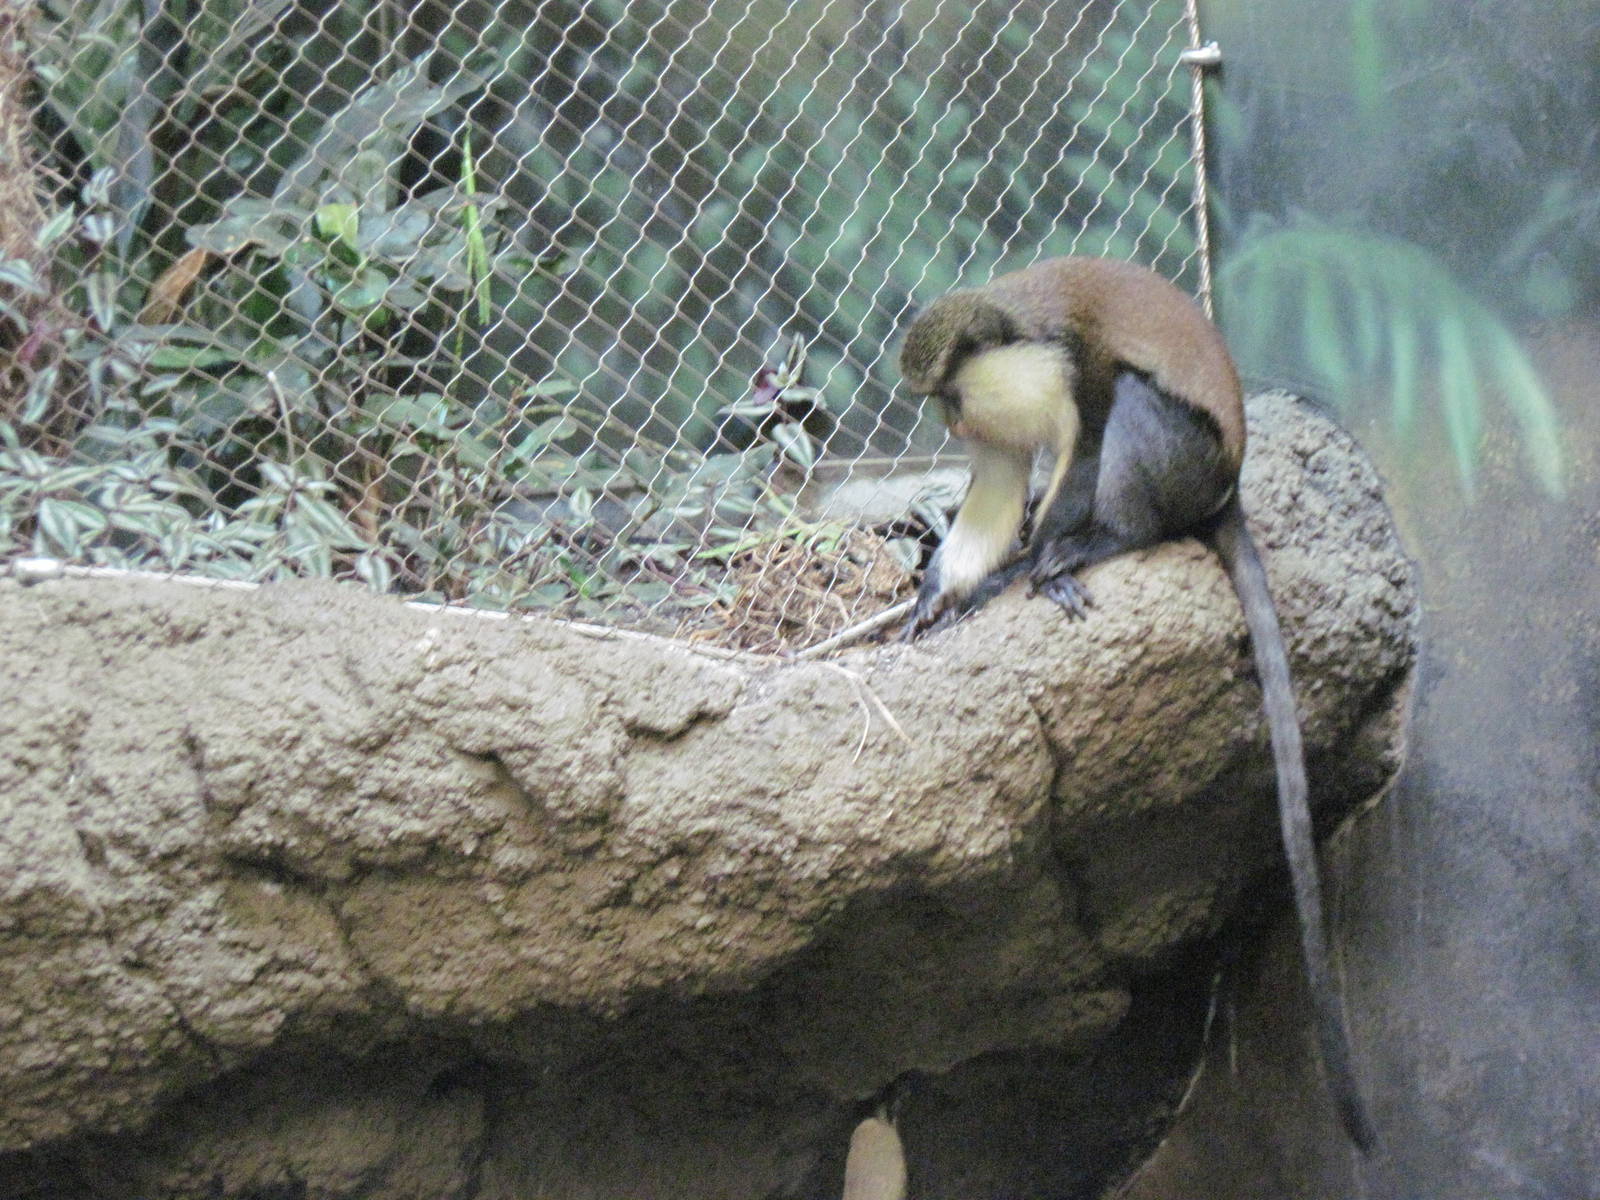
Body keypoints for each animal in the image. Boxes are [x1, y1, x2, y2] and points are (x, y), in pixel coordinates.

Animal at [896, 255, 1377, 1155]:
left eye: (949, 393)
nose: (950, 425)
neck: (1019, 338)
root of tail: (1226, 490)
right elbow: (1000, 480)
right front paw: (940, 594)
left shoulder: (1074, 369)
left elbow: (1083, 443)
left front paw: (1028, 566)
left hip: (1184, 461)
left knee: (1132, 409)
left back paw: (1102, 543)